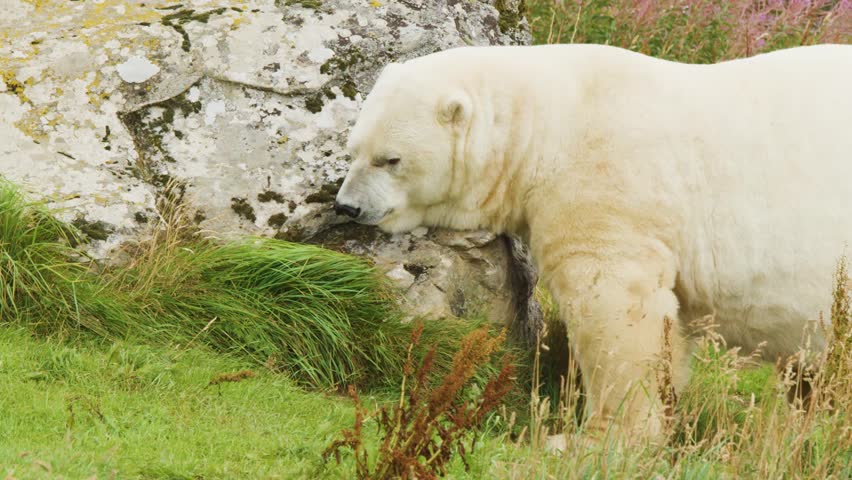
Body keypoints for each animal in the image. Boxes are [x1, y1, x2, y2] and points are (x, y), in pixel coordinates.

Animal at [334, 43, 852, 442]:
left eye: (390, 159)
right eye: (353, 149)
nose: (347, 206)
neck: (544, 124)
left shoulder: (605, 179)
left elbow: (615, 307)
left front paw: (596, 437)